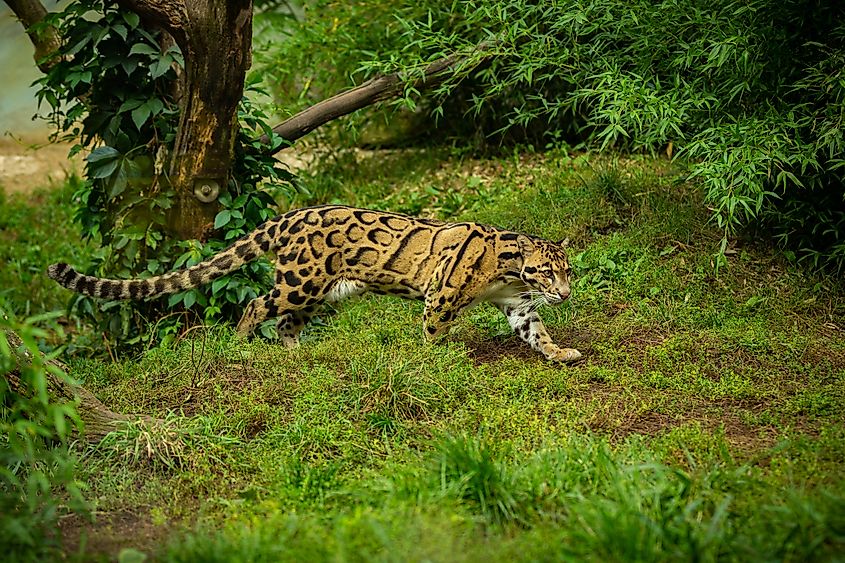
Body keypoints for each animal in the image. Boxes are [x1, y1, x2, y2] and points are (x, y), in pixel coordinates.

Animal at [48, 205, 582, 362]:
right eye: (547, 271)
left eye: (567, 271)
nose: (564, 293)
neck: (507, 268)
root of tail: (290, 216)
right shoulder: (442, 295)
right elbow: (433, 331)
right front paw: (434, 358)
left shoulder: (518, 304)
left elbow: (536, 331)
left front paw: (560, 353)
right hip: (299, 281)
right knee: (257, 304)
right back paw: (242, 345)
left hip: (320, 292)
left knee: (287, 322)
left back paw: (296, 355)